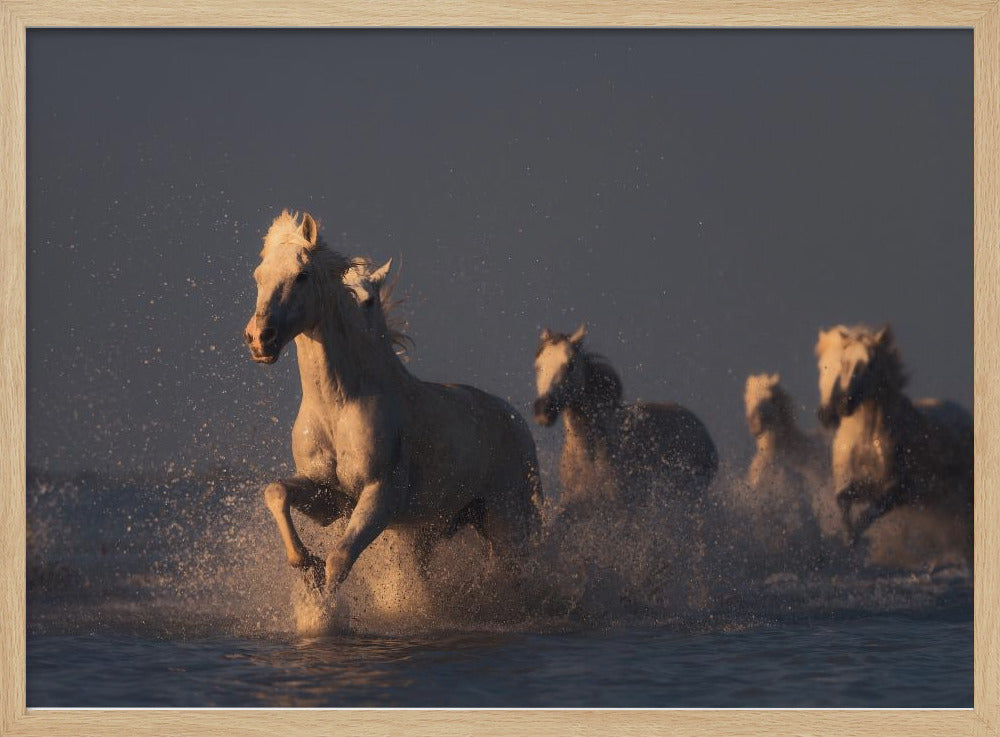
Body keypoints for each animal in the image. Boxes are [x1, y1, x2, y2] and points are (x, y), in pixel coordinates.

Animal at [244, 210, 543, 595]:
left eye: (302, 275)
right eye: (258, 276)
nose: (259, 339)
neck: (338, 405)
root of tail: (514, 418)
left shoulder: (380, 496)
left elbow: (339, 559)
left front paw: (323, 599)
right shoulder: (329, 497)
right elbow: (277, 491)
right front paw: (305, 563)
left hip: (507, 519)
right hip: (431, 530)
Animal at [815, 324, 973, 557]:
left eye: (870, 364)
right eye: (843, 362)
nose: (844, 405)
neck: (867, 436)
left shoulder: (898, 490)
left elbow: (870, 512)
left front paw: (856, 540)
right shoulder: (864, 485)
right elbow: (842, 500)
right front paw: (849, 539)